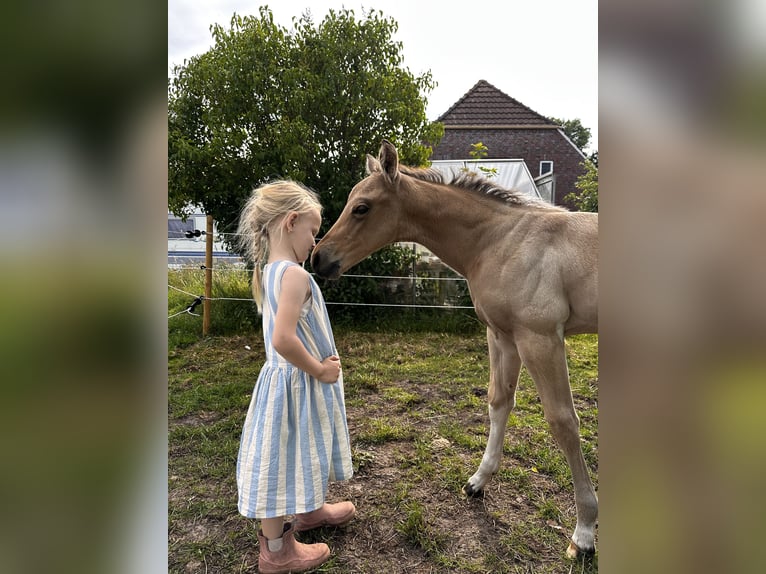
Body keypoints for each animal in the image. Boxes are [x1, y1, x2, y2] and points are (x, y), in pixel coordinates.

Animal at [311, 140, 598, 558]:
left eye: (362, 207)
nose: (318, 258)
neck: (500, 240)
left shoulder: (540, 337)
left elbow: (563, 422)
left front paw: (585, 531)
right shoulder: (503, 336)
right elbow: (499, 402)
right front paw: (478, 481)